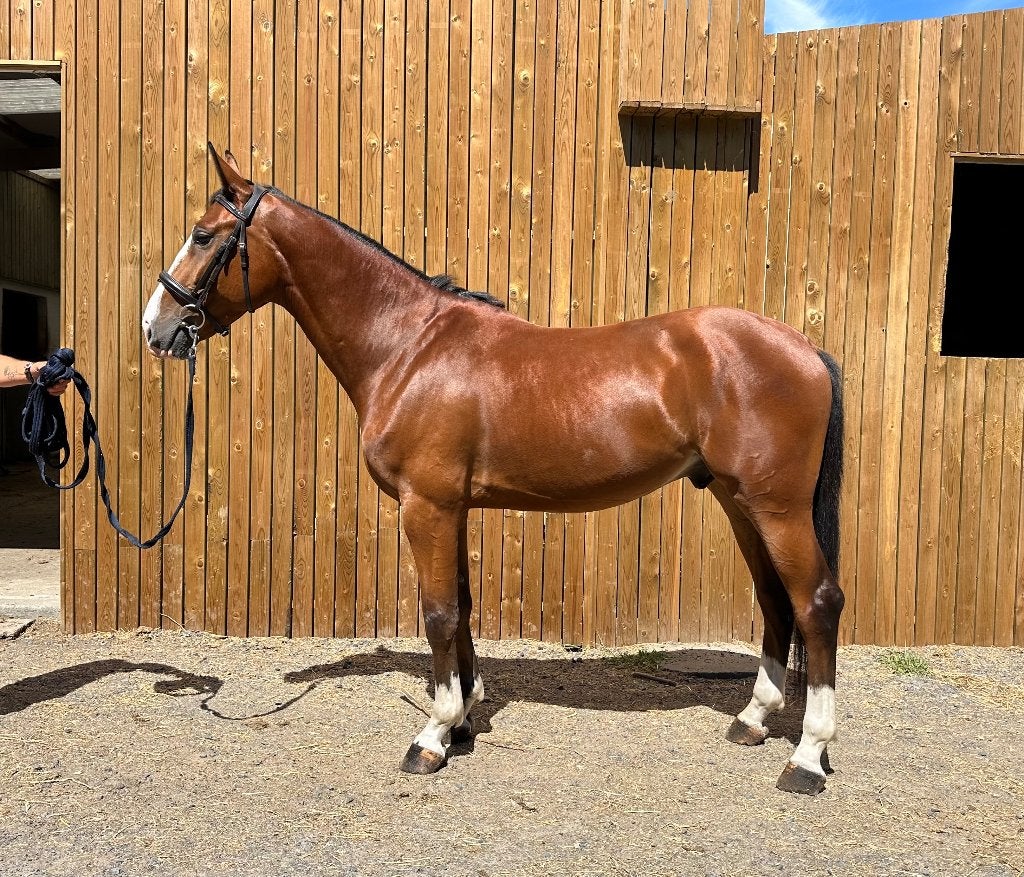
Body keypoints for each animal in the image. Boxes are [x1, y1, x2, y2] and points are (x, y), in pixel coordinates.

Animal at [143, 144, 846, 796]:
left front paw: (432, 735)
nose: (157, 326)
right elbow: (461, 605)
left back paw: (806, 756)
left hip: (777, 506)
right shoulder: (450, 507)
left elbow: (437, 613)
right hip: (737, 499)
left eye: (203, 235)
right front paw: (463, 717)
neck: (408, 347)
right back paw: (753, 720)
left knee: (815, 602)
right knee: (774, 601)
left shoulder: (425, 505)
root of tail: (806, 349)